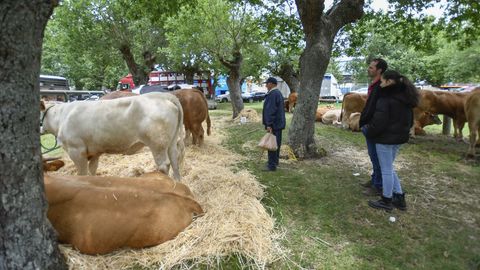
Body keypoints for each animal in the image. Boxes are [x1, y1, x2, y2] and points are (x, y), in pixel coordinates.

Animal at [41, 92, 185, 179]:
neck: (61, 116)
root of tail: (162, 95)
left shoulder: (76, 151)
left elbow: (82, 174)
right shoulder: (94, 152)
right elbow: (92, 171)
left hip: (157, 144)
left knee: (164, 165)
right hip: (170, 142)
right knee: (175, 160)